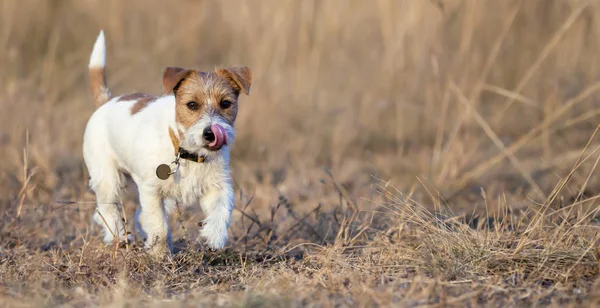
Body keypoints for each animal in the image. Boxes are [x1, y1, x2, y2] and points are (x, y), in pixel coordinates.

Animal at [82, 30, 251, 258]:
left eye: (225, 103)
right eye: (192, 105)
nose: (210, 133)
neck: (185, 152)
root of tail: (107, 101)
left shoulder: (217, 185)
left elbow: (222, 209)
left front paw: (214, 237)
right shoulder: (151, 190)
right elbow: (159, 225)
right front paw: (159, 254)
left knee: (137, 214)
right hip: (107, 178)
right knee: (107, 209)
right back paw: (119, 237)